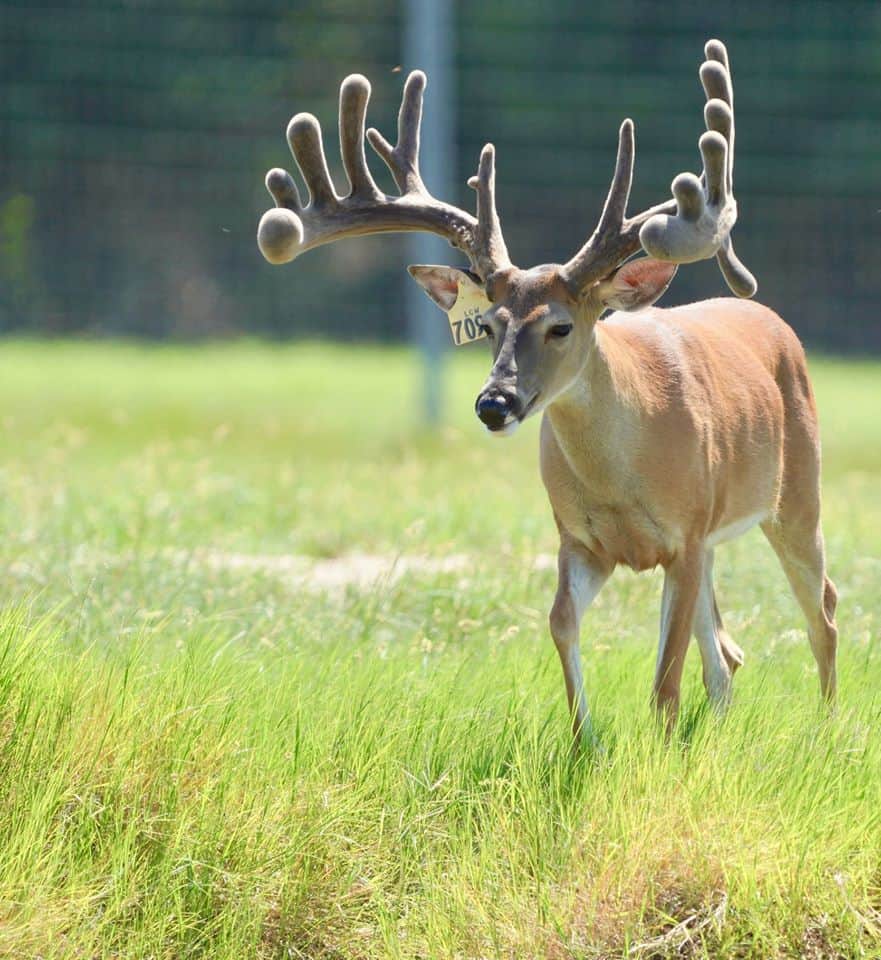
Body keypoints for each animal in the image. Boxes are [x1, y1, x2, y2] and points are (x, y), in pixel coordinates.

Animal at [256, 40, 838, 744]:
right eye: (487, 325)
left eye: (561, 325)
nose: (494, 404)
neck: (623, 477)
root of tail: (772, 321)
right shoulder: (582, 539)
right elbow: (562, 623)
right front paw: (585, 739)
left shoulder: (685, 533)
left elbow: (664, 678)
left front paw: (656, 748)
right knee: (727, 649)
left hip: (796, 495)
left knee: (822, 610)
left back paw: (830, 728)